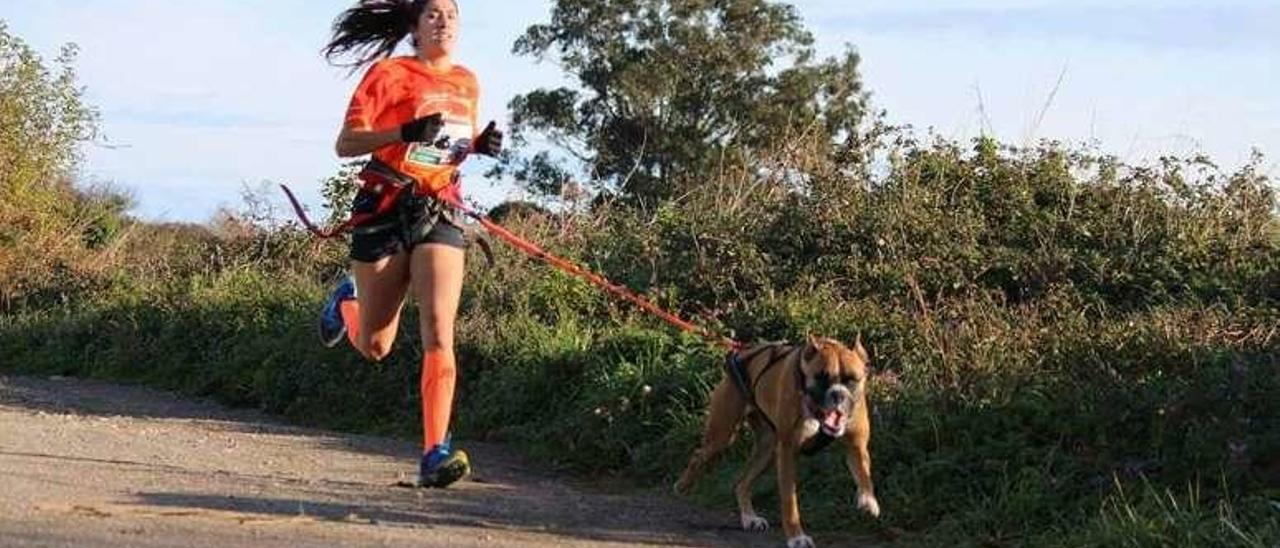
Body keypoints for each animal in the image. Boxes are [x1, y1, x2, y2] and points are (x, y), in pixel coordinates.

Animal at [670, 332, 880, 548]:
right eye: (820, 377)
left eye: (851, 380)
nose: (837, 394)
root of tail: (741, 354)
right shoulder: (787, 451)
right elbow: (789, 500)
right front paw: (797, 537)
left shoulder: (857, 445)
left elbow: (863, 473)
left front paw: (867, 500)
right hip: (722, 436)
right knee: (699, 456)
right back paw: (683, 486)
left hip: (768, 451)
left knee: (742, 482)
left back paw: (750, 518)